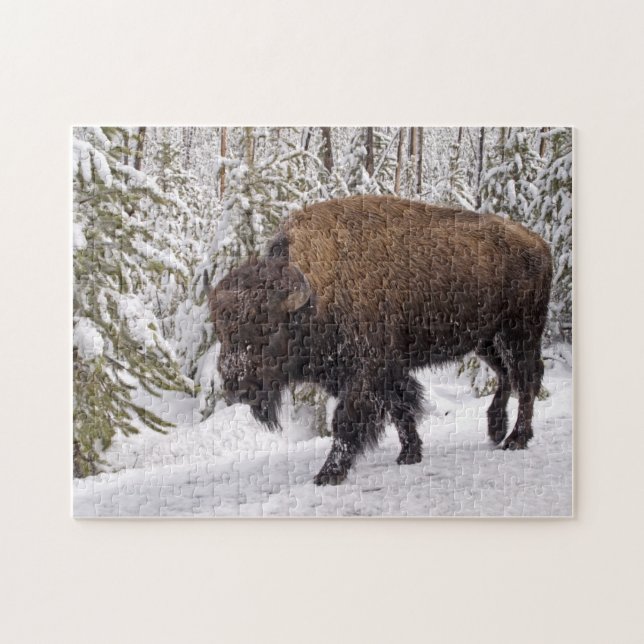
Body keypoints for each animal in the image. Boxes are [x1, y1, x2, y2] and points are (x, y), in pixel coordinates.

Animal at [209, 196, 552, 485]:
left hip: (520, 333)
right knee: (506, 374)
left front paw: (328, 474)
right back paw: (496, 429)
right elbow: (400, 409)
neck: (318, 294)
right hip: (486, 340)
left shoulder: (366, 373)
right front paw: (409, 454)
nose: (236, 386)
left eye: (269, 329)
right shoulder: (386, 372)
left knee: (527, 378)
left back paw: (516, 439)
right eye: (222, 331)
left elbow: (348, 420)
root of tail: (538, 243)